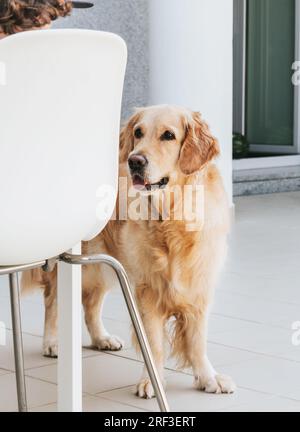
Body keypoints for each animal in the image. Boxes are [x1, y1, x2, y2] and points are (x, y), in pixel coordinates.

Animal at [22, 104, 236, 398]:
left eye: (168, 135)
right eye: (138, 132)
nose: (135, 161)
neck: (172, 217)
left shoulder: (199, 287)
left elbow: (197, 340)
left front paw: (208, 378)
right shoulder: (147, 292)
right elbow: (153, 344)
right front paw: (151, 382)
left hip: (100, 264)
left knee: (91, 303)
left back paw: (101, 338)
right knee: (53, 300)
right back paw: (53, 342)